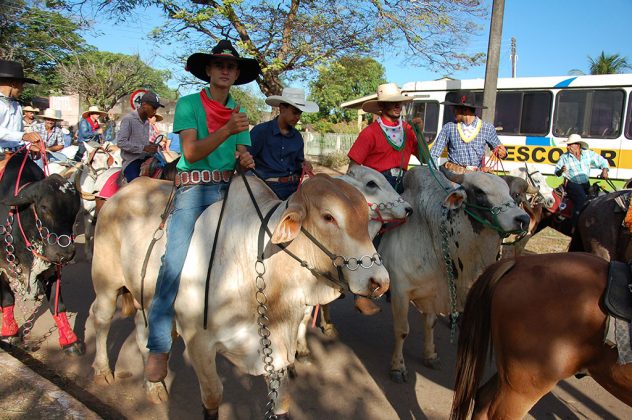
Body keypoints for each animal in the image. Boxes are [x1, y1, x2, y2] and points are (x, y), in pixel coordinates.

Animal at [0, 151, 83, 355]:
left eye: (75, 209)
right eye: (44, 207)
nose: (66, 252)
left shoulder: (52, 268)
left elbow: (57, 305)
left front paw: (69, 340)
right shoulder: (2, 268)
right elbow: (7, 300)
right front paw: (9, 333)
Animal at [90, 173, 389, 418]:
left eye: (366, 216)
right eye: (329, 217)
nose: (380, 282)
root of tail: (125, 189)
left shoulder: (277, 348)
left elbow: (281, 403)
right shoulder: (199, 344)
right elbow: (213, 397)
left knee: (143, 332)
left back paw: (152, 384)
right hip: (107, 282)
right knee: (101, 318)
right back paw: (102, 370)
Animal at [379, 166, 530, 382]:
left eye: (512, 194)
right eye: (479, 192)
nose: (523, 219)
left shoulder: (434, 292)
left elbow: (431, 323)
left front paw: (430, 355)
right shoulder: (401, 290)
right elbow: (402, 330)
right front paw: (398, 367)